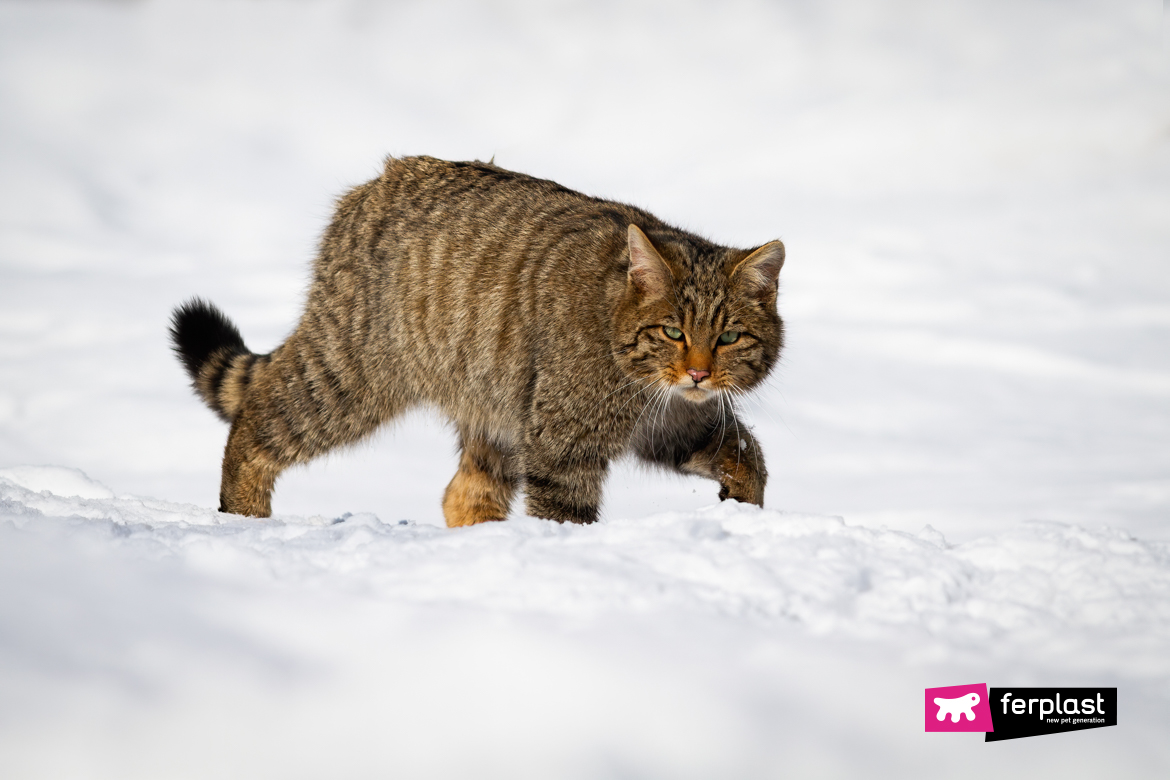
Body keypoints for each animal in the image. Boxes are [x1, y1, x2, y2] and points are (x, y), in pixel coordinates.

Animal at [169, 155, 786, 528]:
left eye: (730, 336)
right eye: (672, 331)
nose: (699, 372)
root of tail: (373, 183)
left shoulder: (677, 426)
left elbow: (749, 456)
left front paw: (744, 514)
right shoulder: (564, 445)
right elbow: (565, 517)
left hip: (493, 406)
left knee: (463, 493)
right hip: (349, 376)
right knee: (255, 421)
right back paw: (244, 514)